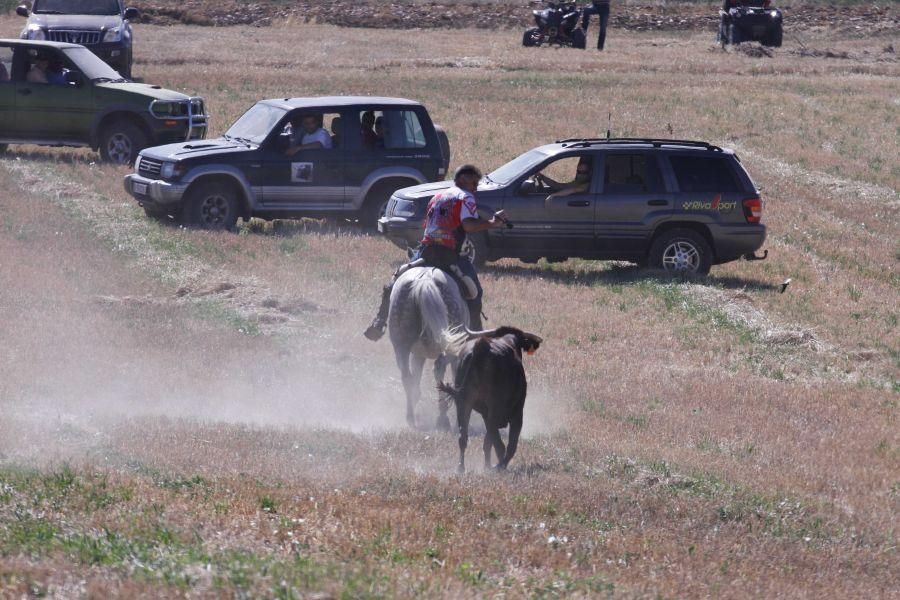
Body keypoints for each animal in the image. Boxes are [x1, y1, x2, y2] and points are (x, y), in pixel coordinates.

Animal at [388, 264, 472, 428]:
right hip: (448, 349)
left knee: (407, 377)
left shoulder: (418, 354)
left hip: (400, 346)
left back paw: (411, 417)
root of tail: (424, 280)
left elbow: (415, 377)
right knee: (439, 368)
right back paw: (442, 418)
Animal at [436, 326, 540, 472]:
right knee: (498, 442)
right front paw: (497, 465)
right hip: (494, 407)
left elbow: (489, 441)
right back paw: (499, 465)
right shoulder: (517, 413)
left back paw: (462, 467)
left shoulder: (485, 413)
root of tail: (482, 347)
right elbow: (510, 444)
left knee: (463, 436)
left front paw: (488, 464)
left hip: (464, 403)